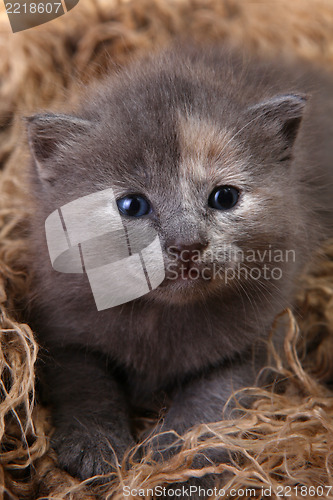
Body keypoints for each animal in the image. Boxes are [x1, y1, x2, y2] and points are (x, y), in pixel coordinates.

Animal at [26, 44, 332, 488]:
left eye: (224, 197)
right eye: (132, 205)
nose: (187, 245)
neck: (162, 320)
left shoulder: (263, 338)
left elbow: (211, 398)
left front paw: (177, 457)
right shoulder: (61, 327)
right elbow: (86, 383)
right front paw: (94, 446)